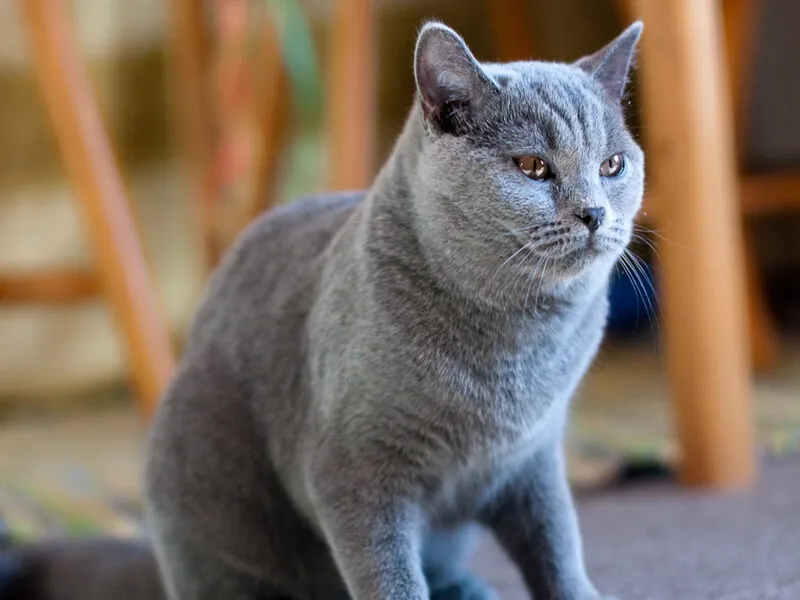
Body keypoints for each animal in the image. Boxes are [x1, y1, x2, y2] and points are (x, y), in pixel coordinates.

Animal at [0, 18, 644, 600]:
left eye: (612, 165)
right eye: (533, 167)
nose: (594, 212)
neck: (518, 341)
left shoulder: (534, 459)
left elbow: (559, 549)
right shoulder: (356, 473)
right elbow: (391, 578)